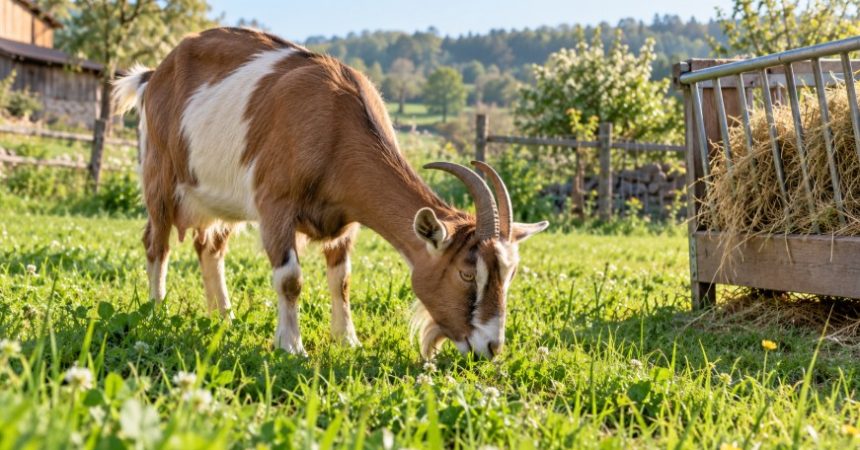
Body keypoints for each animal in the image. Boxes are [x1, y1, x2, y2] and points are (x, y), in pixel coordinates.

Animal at [112, 27, 548, 359]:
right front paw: (292, 346)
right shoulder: (275, 204)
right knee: (156, 242)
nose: (491, 347)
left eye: (509, 275)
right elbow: (290, 279)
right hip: (159, 175)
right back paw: (156, 309)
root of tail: (154, 74)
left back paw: (225, 317)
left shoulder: (345, 220)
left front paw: (347, 339)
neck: (336, 125)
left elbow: (341, 280)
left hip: (219, 197)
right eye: (466, 273)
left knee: (210, 248)